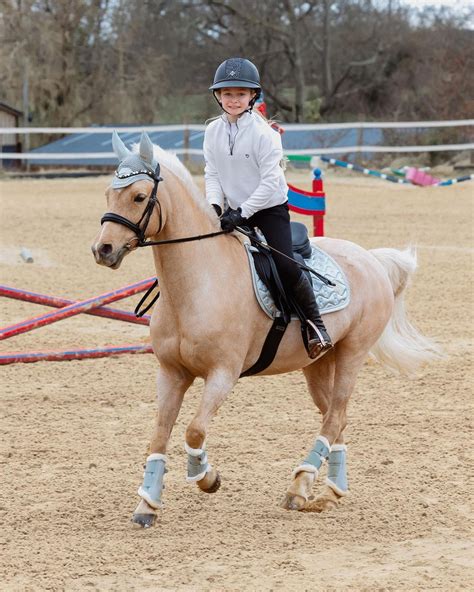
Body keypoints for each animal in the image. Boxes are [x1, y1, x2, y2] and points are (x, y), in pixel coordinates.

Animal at [90, 133, 438, 528]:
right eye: (109, 193)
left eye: (138, 196)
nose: (103, 249)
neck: (198, 284)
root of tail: (370, 258)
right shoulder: (171, 373)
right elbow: (159, 436)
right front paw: (147, 504)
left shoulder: (222, 374)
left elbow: (194, 431)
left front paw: (207, 478)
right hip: (318, 363)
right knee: (336, 418)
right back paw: (331, 491)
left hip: (353, 353)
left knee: (335, 416)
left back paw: (299, 487)